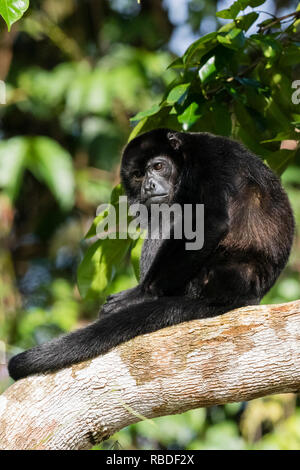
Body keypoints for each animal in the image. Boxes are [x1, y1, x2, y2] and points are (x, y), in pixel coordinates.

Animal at [8, 129, 294, 382]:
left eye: (158, 166)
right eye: (137, 175)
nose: (148, 185)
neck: (185, 156)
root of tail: (245, 292)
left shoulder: (210, 161)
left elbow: (209, 221)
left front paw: (138, 296)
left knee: (172, 215)